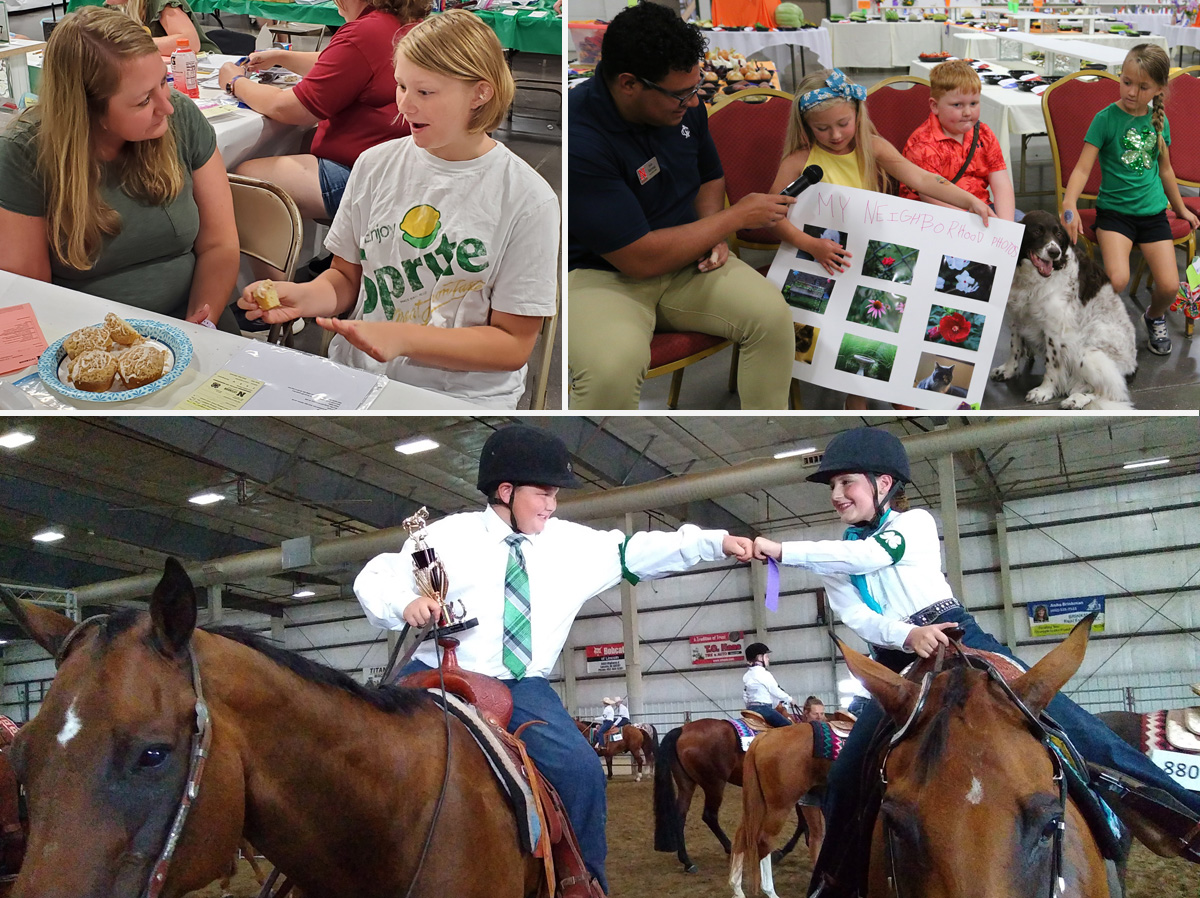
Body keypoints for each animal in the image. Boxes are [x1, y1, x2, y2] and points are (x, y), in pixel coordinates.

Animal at [652, 715, 811, 869]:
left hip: (687, 784)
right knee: (709, 816)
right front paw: (783, 852)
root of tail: (682, 730)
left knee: (680, 816)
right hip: (714, 785)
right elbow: (802, 822)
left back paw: (687, 861)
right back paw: (730, 849)